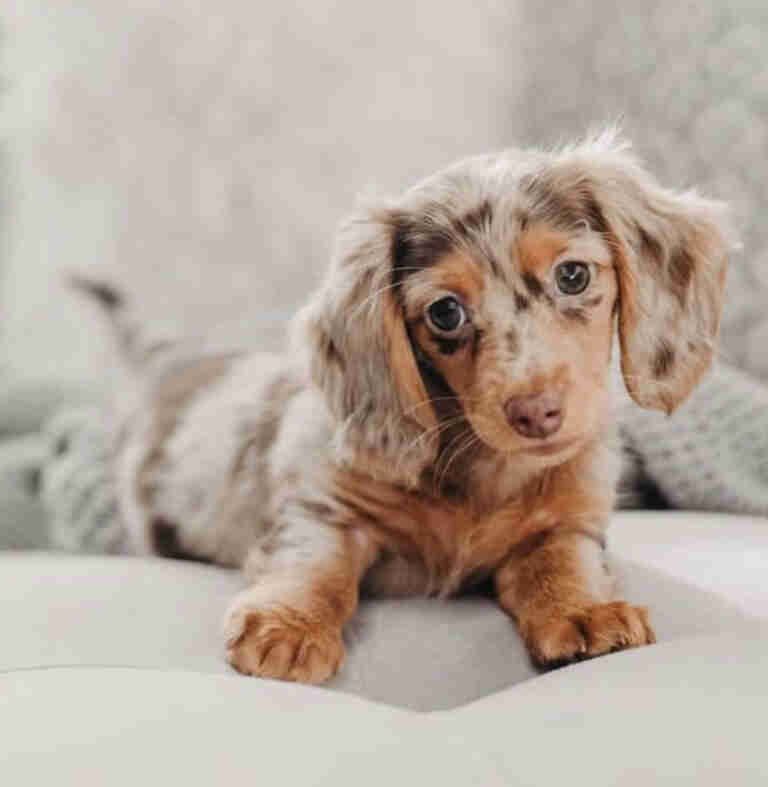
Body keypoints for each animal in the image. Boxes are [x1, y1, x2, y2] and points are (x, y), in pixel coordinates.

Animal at [82, 131, 732, 684]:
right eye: (445, 312)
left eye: (573, 275)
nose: (536, 413)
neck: (482, 471)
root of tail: (171, 362)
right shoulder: (325, 508)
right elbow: (316, 563)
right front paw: (290, 626)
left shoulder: (568, 520)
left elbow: (561, 564)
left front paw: (586, 613)